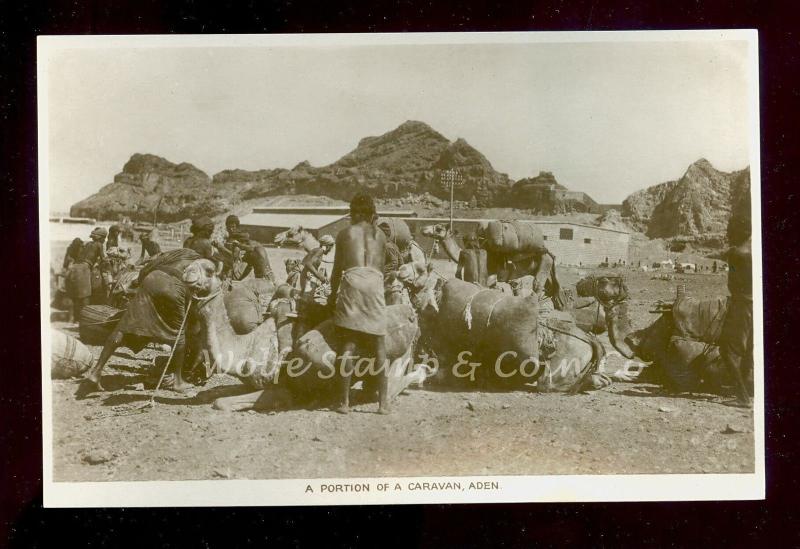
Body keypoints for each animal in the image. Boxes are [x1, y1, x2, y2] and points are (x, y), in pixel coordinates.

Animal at [422, 219, 604, 332]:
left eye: (439, 228)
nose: (424, 229)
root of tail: (549, 253)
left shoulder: (490, 277)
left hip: (543, 266)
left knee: (538, 287)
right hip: (546, 271)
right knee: (551, 290)